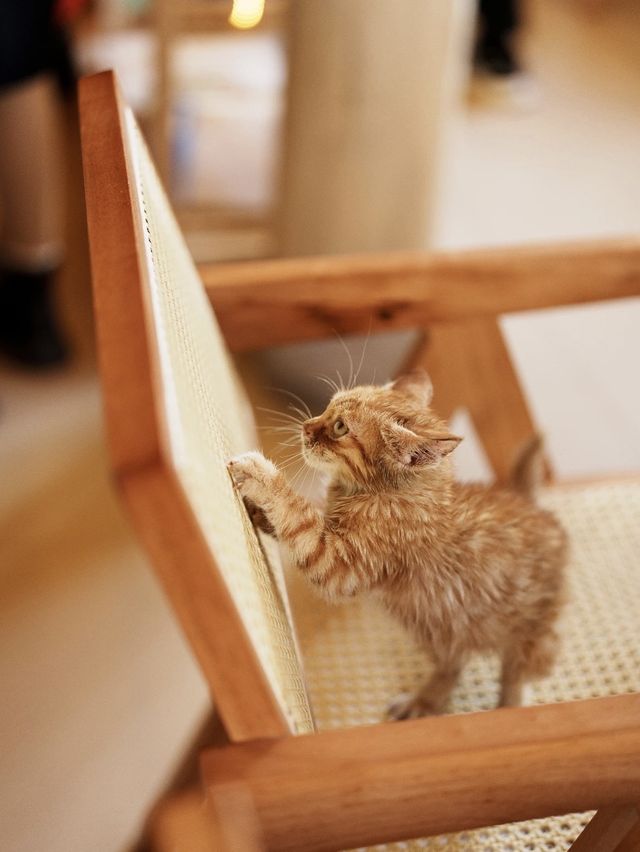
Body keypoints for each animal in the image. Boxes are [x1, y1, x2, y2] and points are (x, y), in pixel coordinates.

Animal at [228, 374, 568, 720]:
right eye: (327, 407)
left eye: (340, 427)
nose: (306, 427)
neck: (380, 491)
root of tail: (528, 503)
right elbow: (302, 517)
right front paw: (258, 511)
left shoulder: (340, 564)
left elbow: (299, 517)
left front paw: (260, 474)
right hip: (435, 628)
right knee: (453, 663)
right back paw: (424, 701)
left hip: (529, 637)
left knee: (518, 672)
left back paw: (509, 706)